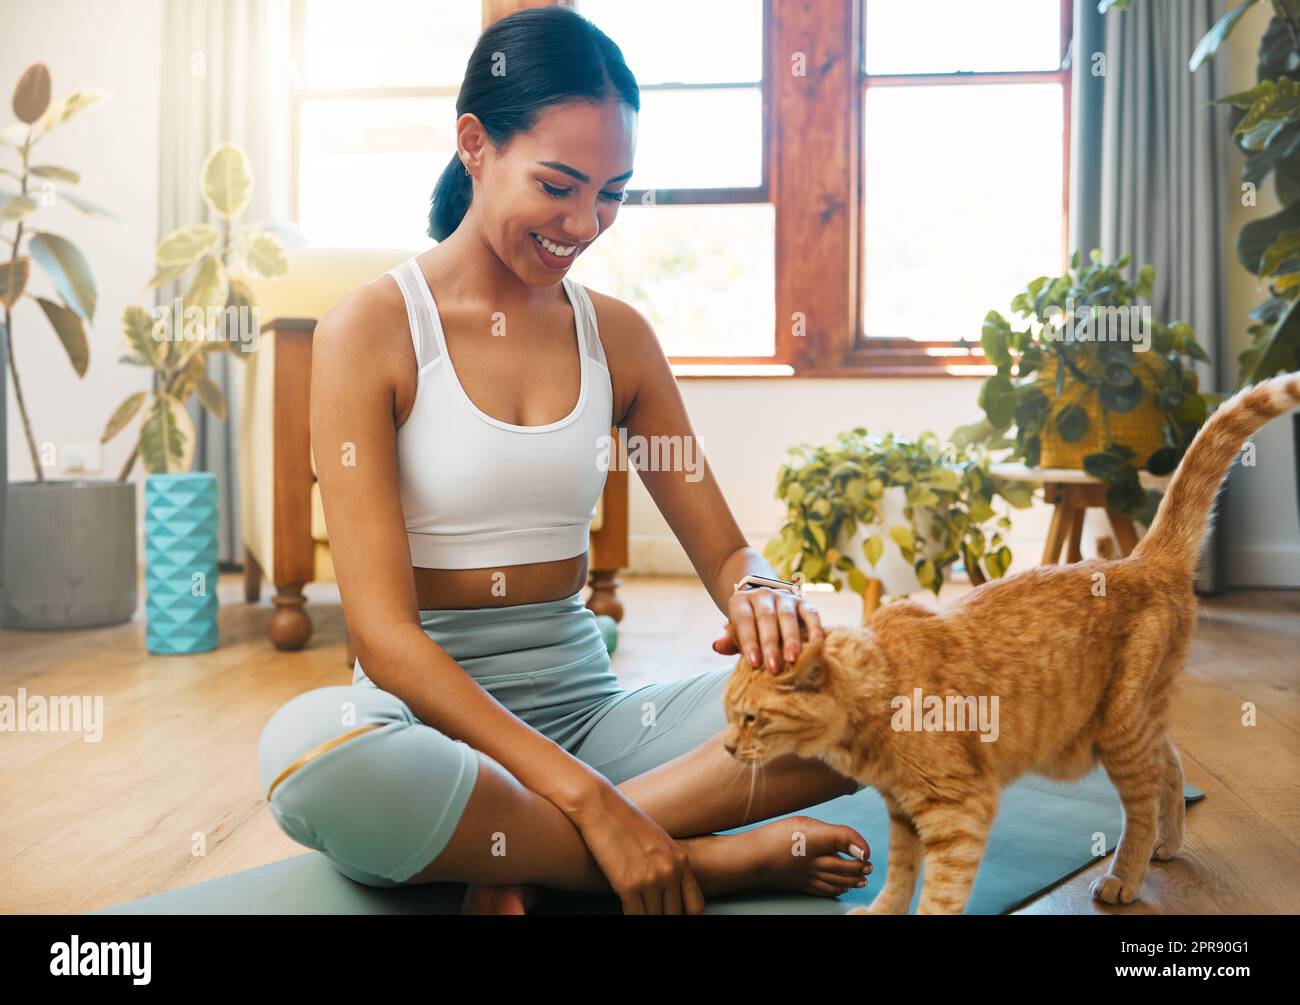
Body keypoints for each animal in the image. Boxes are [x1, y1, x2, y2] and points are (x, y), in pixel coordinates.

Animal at [722, 371, 1300, 915]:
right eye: (728, 717)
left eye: (750, 718)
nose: (727, 747)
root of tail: (1141, 558)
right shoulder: (903, 813)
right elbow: (901, 876)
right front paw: (882, 910)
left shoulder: (959, 811)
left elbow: (939, 894)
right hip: (1123, 725)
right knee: (1171, 762)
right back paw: (1168, 842)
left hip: (1119, 728)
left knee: (1143, 799)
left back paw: (1126, 875)